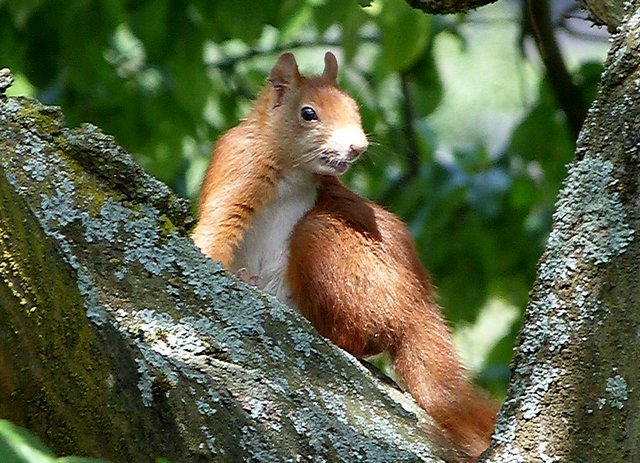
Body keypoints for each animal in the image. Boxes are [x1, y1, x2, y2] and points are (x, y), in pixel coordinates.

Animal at [192, 51, 497, 460]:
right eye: (308, 113)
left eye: (354, 108)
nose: (357, 147)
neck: (294, 170)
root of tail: (417, 306)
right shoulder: (238, 172)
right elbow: (217, 229)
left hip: (331, 251)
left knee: (351, 335)